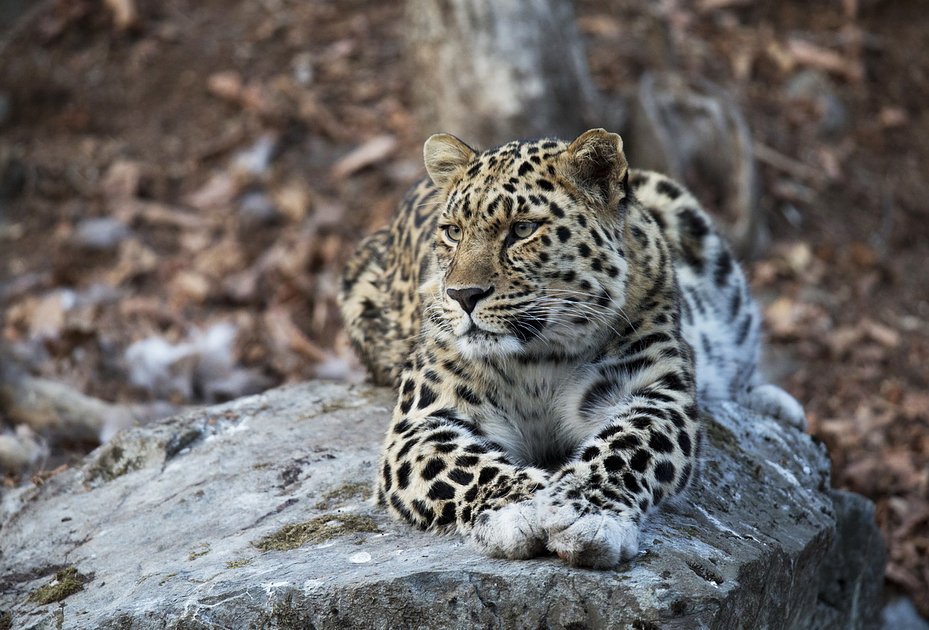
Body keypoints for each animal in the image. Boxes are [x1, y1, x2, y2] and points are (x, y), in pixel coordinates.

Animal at [338, 128, 800, 568]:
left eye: (523, 229)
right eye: (453, 232)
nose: (462, 295)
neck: (538, 358)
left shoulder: (654, 393)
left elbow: (627, 447)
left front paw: (585, 512)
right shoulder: (421, 422)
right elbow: (463, 465)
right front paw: (520, 506)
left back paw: (774, 405)